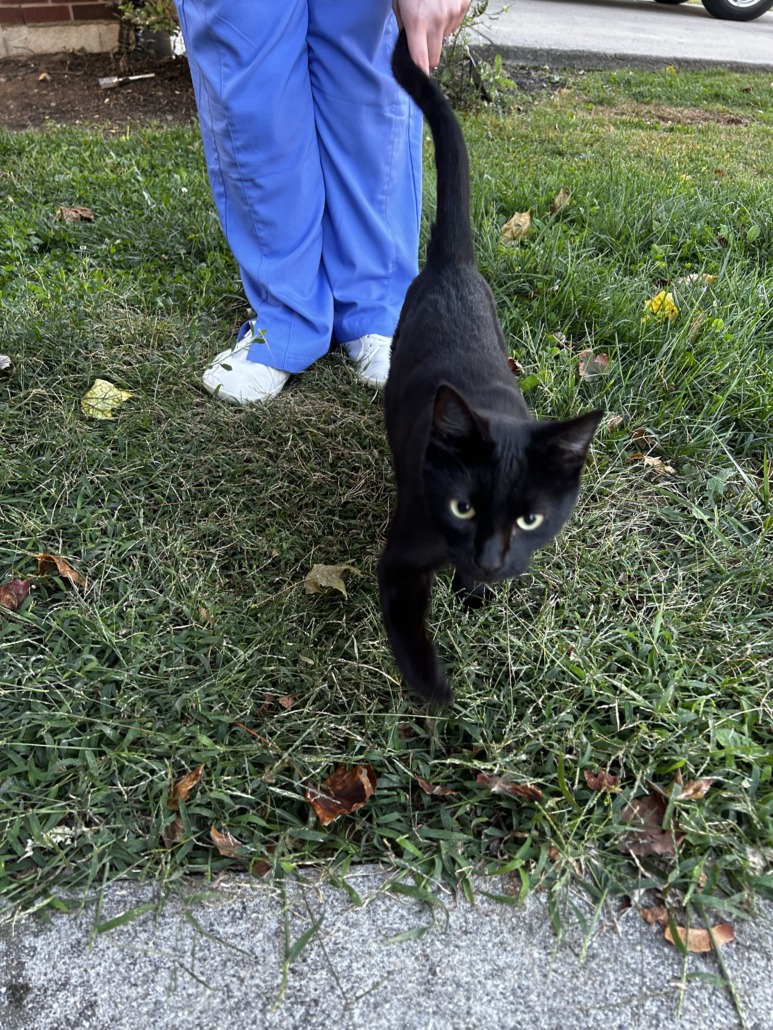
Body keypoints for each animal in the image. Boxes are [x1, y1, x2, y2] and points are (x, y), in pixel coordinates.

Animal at [378, 31, 602, 705]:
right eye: (462, 509)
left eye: (530, 519)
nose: (491, 560)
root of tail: (452, 262)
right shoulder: (403, 550)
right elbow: (407, 622)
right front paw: (437, 696)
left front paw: (475, 592)